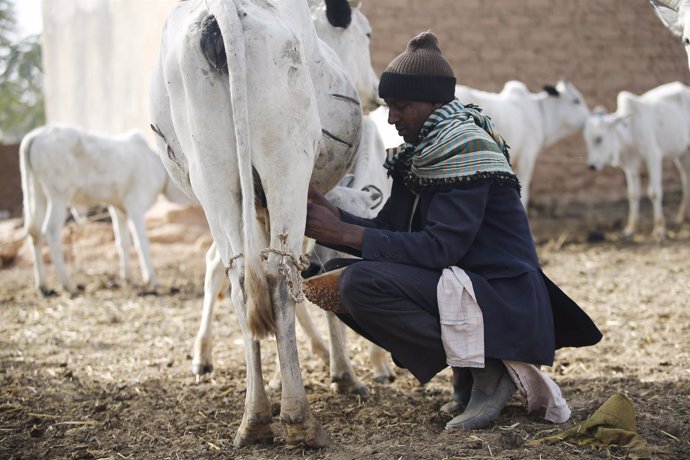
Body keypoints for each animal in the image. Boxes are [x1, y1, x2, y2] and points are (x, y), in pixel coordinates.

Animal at [19, 124, 191, 296]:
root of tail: (35, 136)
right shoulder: (135, 206)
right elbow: (142, 243)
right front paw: (152, 280)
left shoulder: (118, 209)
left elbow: (123, 242)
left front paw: (127, 278)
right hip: (58, 196)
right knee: (51, 231)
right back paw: (68, 285)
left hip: (36, 193)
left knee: (34, 231)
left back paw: (43, 286)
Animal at [152, 0, 366, 448]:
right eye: (367, 34)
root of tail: (222, 11)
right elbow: (319, 275)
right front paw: (343, 374)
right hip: (285, 164)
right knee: (280, 277)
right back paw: (300, 419)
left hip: (215, 180)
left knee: (239, 279)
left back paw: (255, 417)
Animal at [580, 82, 688, 237]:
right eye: (587, 140)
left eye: (599, 138)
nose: (592, 166)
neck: (630, 131)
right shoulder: (630, 165)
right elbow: (633, 194)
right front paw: (630, 228)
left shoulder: (653, 156)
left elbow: (654, 192)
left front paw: (659, 228)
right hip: (681, 153)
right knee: (685, 177)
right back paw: (682, 216)